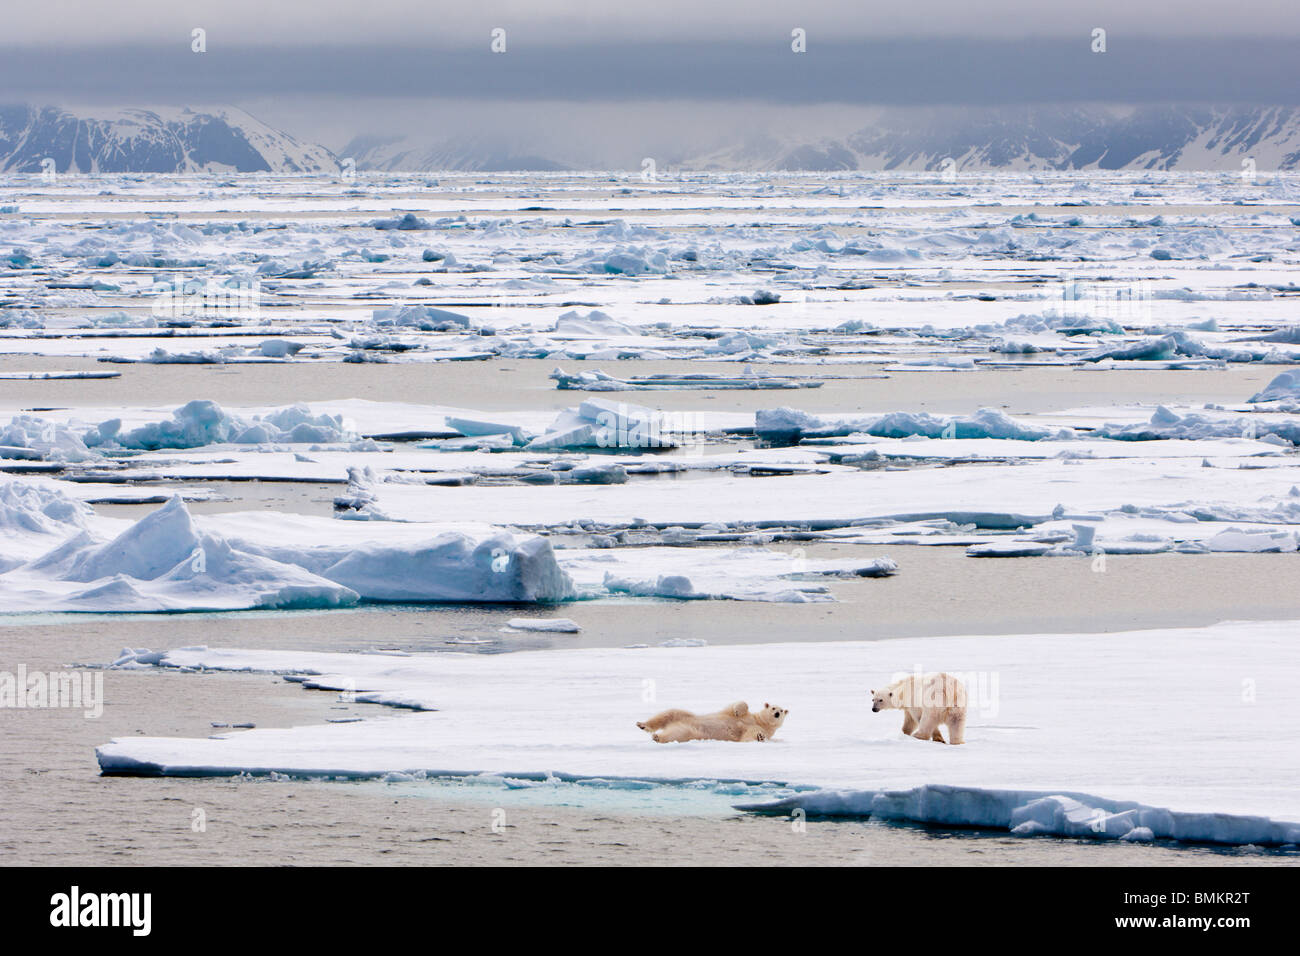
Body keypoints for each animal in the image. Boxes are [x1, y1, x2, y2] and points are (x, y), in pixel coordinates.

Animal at [634, 697, 785, 743]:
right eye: (773, 707)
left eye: (782, 710)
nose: (777, 713)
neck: (759, 721)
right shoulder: (745, 716)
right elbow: (737, 707)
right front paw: (738, 709)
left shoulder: (759, 729)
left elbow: (748, 736)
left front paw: (760, 737)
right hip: (686, 716)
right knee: (669, 713)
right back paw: (642, 724)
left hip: (690, 731)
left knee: (677, 733)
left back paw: (657, 737)